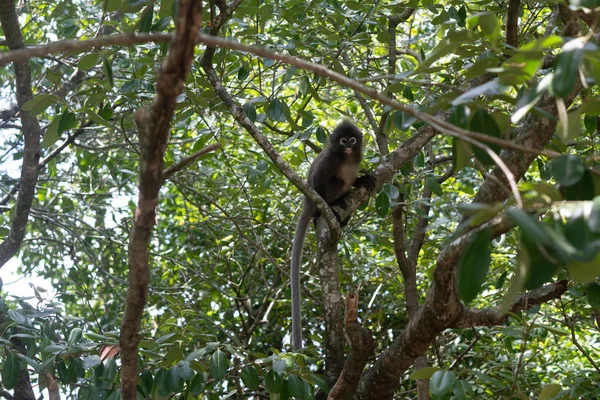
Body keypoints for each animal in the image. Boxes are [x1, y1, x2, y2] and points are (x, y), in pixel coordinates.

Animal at [290, 119, 376, 350]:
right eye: (342, 140)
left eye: (352, 140)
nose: (348, 146)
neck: (345, 157)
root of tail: (306, 204)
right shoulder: (328, 160)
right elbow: (319, 176)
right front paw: (324, 212)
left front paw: (363, 179)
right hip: (317, 196)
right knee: (333, 182)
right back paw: (326, 210)